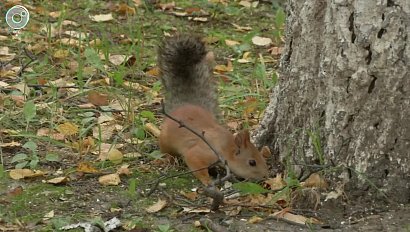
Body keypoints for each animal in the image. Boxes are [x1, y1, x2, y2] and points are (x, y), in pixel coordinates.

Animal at [157, 34, 270, 186]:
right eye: (252, 162)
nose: (266, 176)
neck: (225, 146)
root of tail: (184, 104)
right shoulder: (202, 152)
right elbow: (194, 162)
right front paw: (207, 181)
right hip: (165, 139)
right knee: (166, 150)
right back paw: (168, 158)